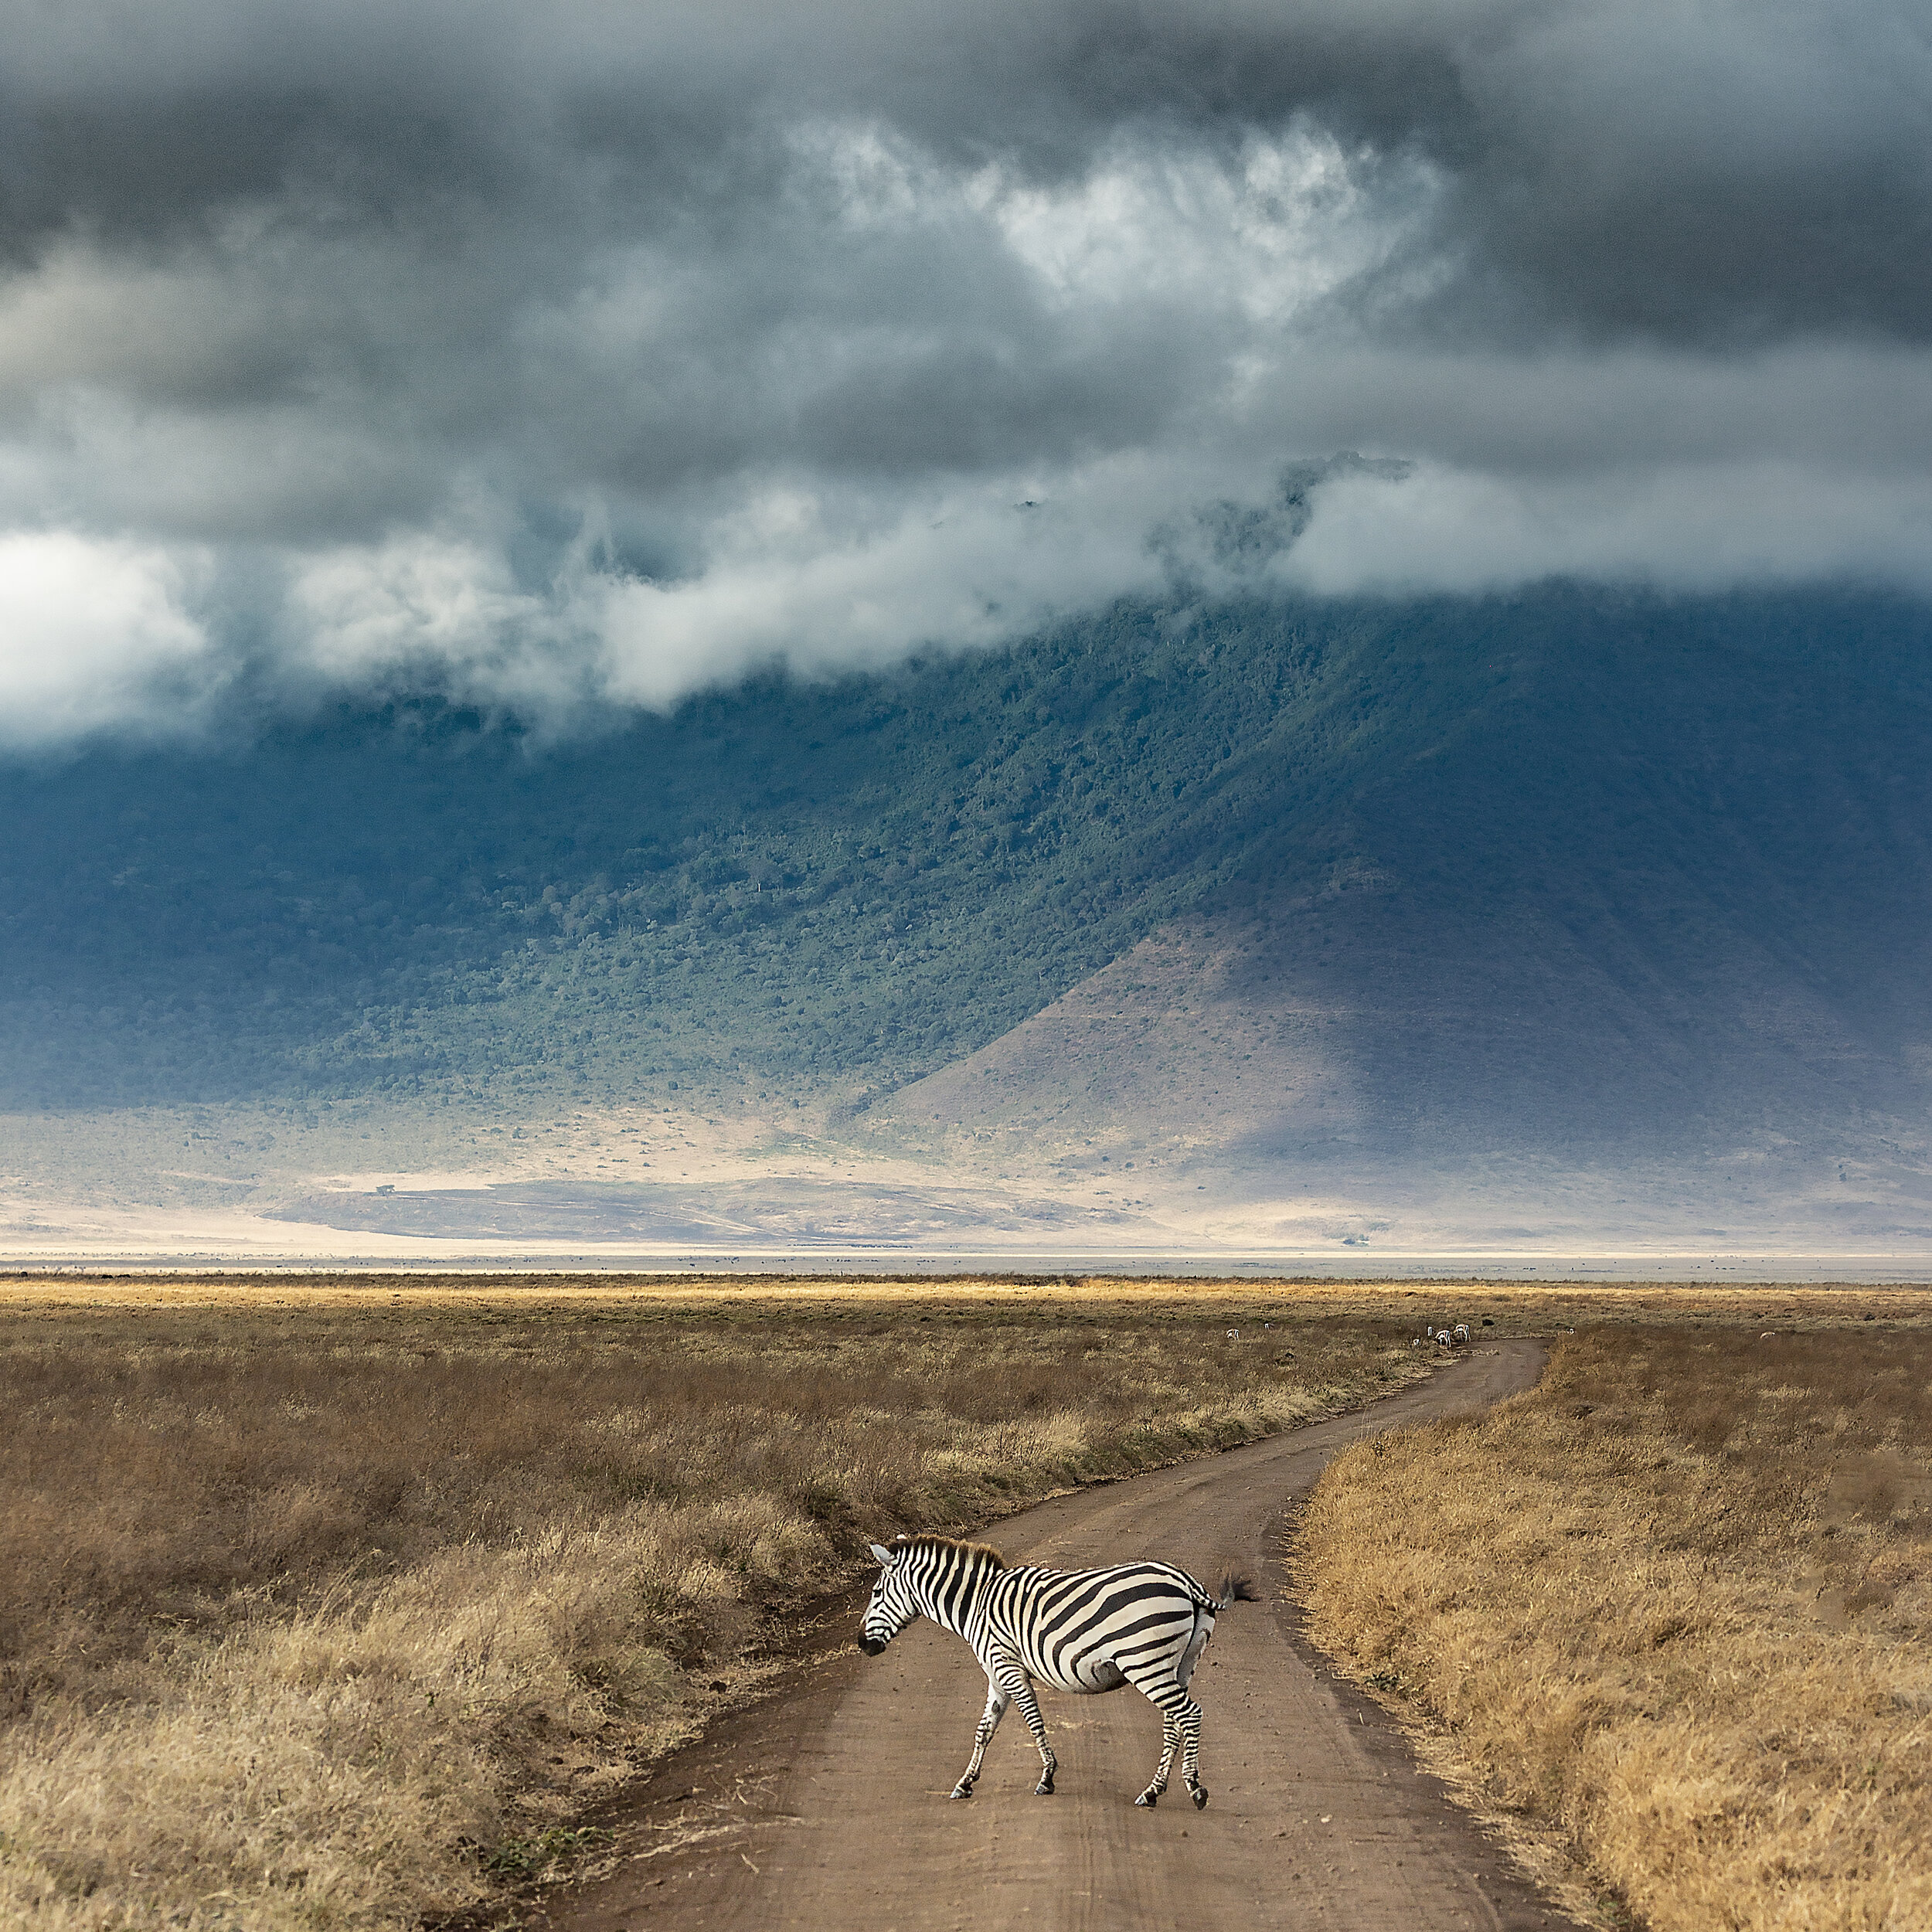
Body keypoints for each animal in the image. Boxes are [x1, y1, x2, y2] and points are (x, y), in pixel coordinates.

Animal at [858, 1538, 1252, 1808]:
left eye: (876, 1592)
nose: (862, 1644)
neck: (976, 1603)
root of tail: (1187, 1583)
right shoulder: (995, 1676)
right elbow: (984, 1730)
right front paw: (965, 1783)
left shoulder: (1008, 1667)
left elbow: (1033, 1721)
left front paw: (1047, 1777)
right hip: (1178, 1665)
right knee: (1175, 1721)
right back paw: (1152, 1792)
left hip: (1145, 1663)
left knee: (1190, 1714)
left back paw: (1195, 1788)